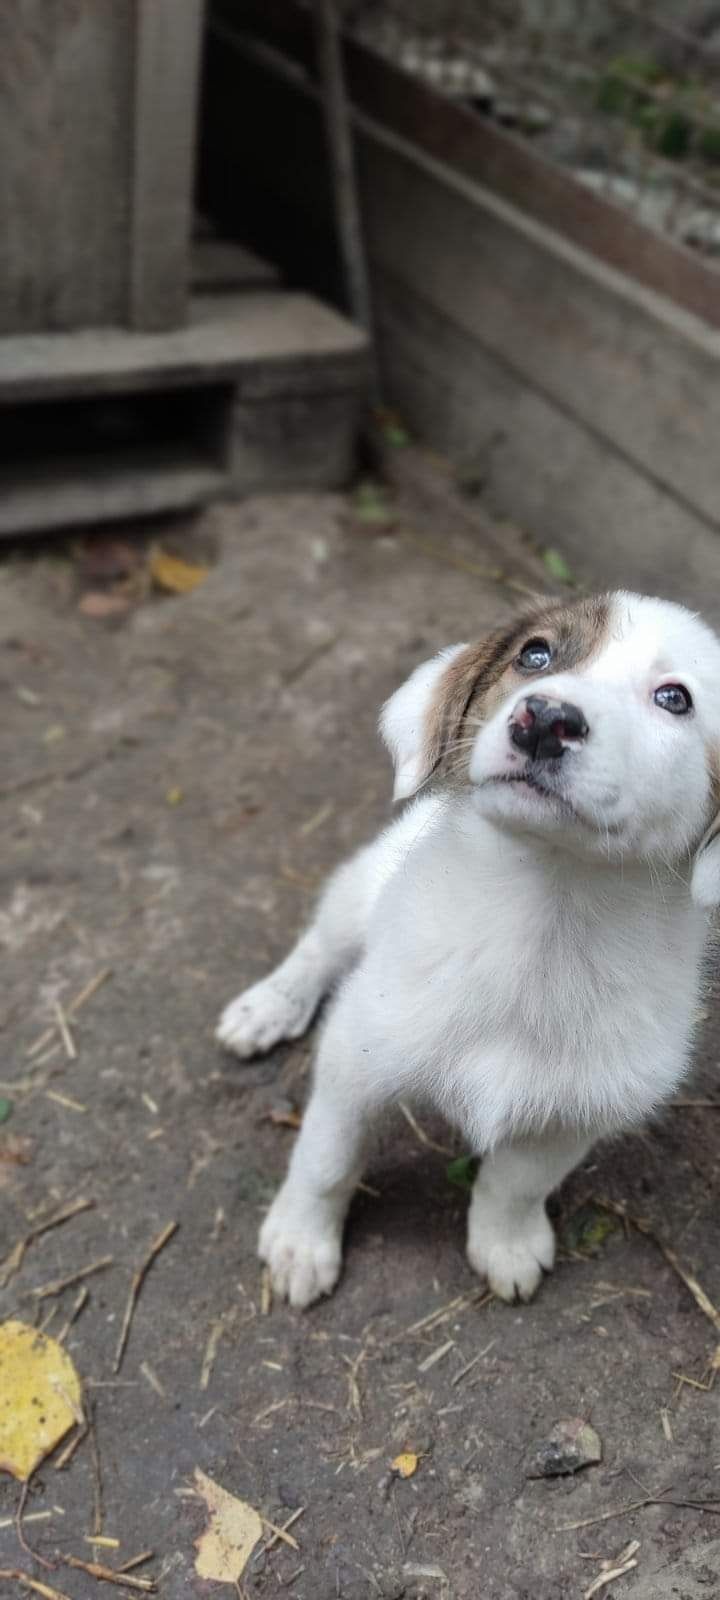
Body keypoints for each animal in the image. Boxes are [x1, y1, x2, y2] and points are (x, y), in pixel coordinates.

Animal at [216, 595, 720, 1305]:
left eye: (675, 698)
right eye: (535, 655)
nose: (545, 719)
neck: (545, 918)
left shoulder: (578, 1111)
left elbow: (515, 1184)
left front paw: (505, 1243)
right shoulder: (355, 1058)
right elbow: (326, 1160)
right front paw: (300, 1240)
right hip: (361, 890)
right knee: (320, 943)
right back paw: (269, 1006)